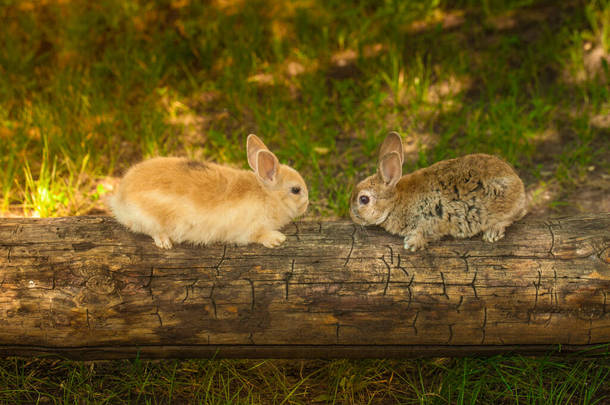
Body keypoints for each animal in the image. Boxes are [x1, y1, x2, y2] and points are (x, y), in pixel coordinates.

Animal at [350, 132, 524, 249]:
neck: (395, 203)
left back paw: (492, 233)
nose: (352, 215)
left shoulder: (431, 218)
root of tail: (519, 183)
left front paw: (411, 244)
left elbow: (425, 233)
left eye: (363, 199)